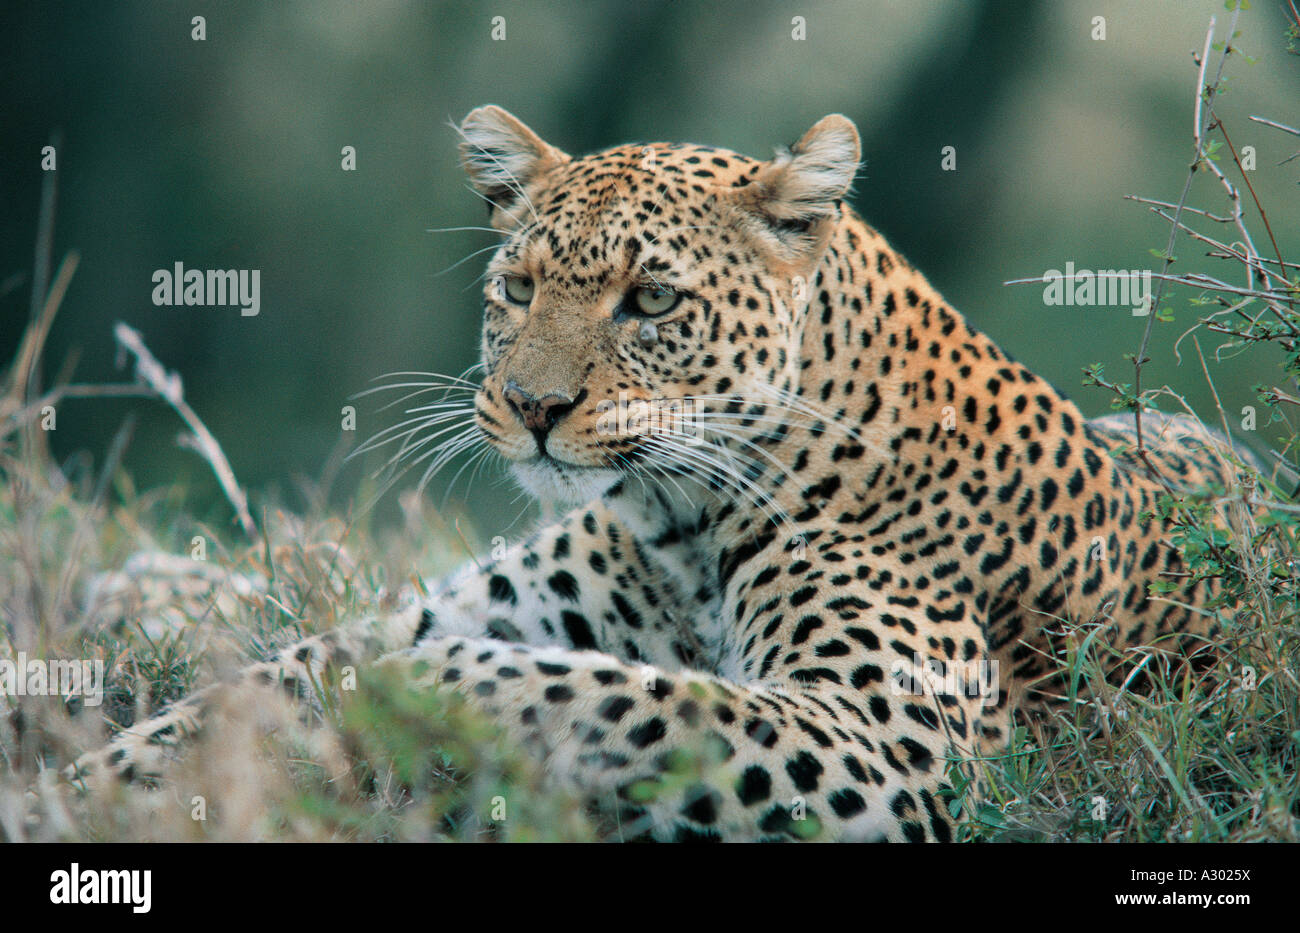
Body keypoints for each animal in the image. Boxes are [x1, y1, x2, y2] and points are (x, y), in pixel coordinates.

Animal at [53, 105, 1248, 842]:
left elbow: (618, 694)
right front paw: (78, 789)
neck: (680, 520)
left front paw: (405, 697)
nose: (532, 407)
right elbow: (254, 685)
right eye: (519, 288)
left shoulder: (887, 740)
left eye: (654, 300)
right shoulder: (465, 607)